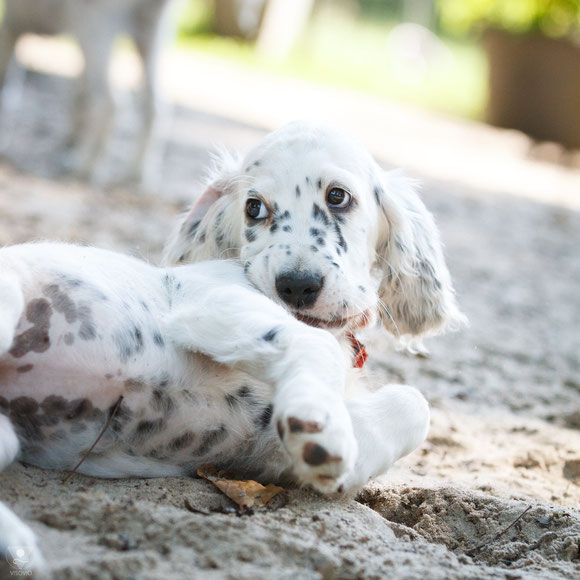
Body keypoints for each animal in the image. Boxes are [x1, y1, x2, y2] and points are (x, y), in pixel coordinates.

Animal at [0, 0, 180, 188]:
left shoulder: (12, 25)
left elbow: (5, 81)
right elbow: (80, 96)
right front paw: (72, 141)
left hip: (95, 25)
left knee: (109, 103)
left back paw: (87, 168)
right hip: (152, 30)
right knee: (153, 107)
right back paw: (136, 176)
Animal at [0, 121, 464, 572]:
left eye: (338, 196)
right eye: (254, 207)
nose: (297, 285)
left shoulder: (269, 453)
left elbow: (413, 403)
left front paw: (328, 439)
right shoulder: (207, 299)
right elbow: (322, 348)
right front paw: (318, 417)